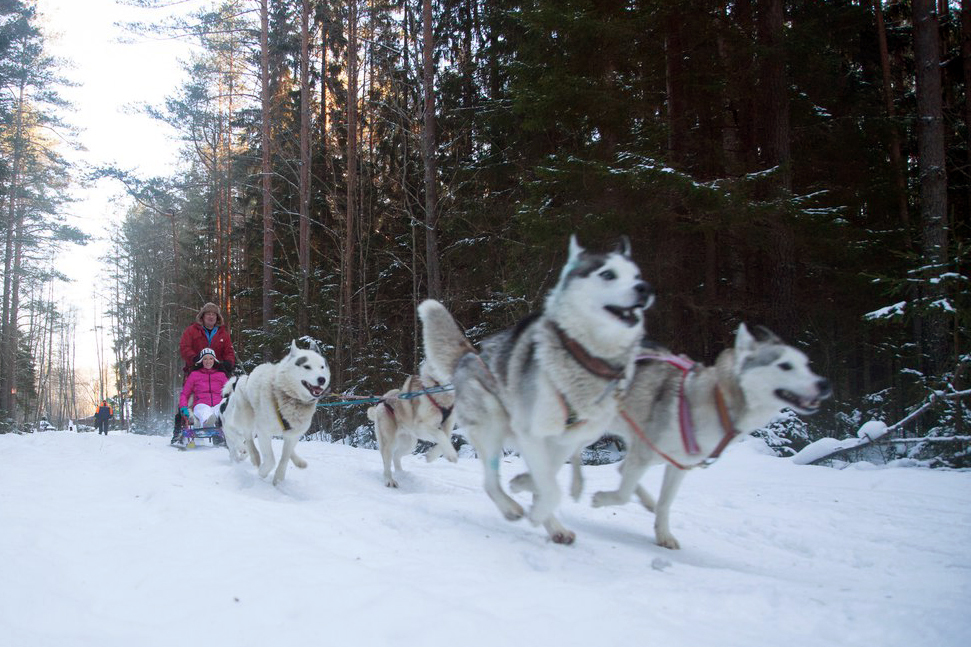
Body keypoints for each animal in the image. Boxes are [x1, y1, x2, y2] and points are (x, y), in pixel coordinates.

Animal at [220, 340, 330, 486]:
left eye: (322, 367)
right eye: (307, 366)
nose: (322, 379)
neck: (288, 396)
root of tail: (244, 378)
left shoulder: (293, 434)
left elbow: (285, 458)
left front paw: (278, 478)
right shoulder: (263, 432)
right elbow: (270, 460)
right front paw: (263, 472)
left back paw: (299, 461)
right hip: (246, 418)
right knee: (247, 438)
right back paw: (254, 456)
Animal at [418, 235, 652, 544]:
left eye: (636, 275)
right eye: (608, 274)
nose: (644, 288)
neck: (584, 360)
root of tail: (470, 355)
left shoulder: (565, 440)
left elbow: (546, 479)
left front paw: (529, 490)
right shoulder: (531, 432)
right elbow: (550, 489)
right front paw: (536, 509)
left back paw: (552, 524)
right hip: (492, 424)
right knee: (490, 482)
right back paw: (514, 509)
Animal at [588, 324, 832, 548]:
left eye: (806, 365)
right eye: (785, 365)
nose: (824, 384)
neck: (719, 403)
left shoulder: (678, 465)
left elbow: (664, 503)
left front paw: (663, 534)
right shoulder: (644, 454)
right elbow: (623, 494)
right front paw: (600, 499)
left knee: (623, 469)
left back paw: (648, 501)